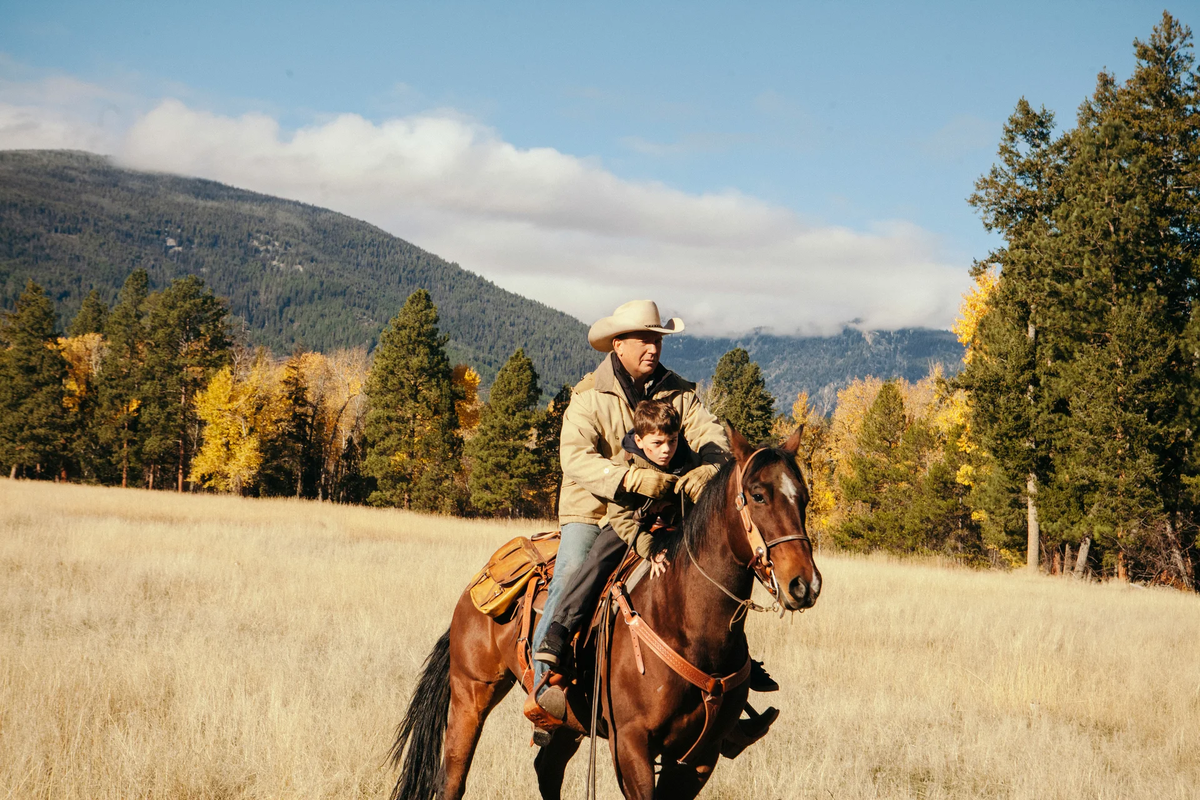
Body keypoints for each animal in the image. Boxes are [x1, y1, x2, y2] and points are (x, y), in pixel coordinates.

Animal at [388, 424, 820, 796]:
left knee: (547, 769)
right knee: (452, 778)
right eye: (758, 494)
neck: (688, 625)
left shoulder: (699, 758)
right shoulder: (630, 744)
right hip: (471, 694)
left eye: (803, 497)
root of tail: (473, 589)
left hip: (567, 720)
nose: (804, 584)